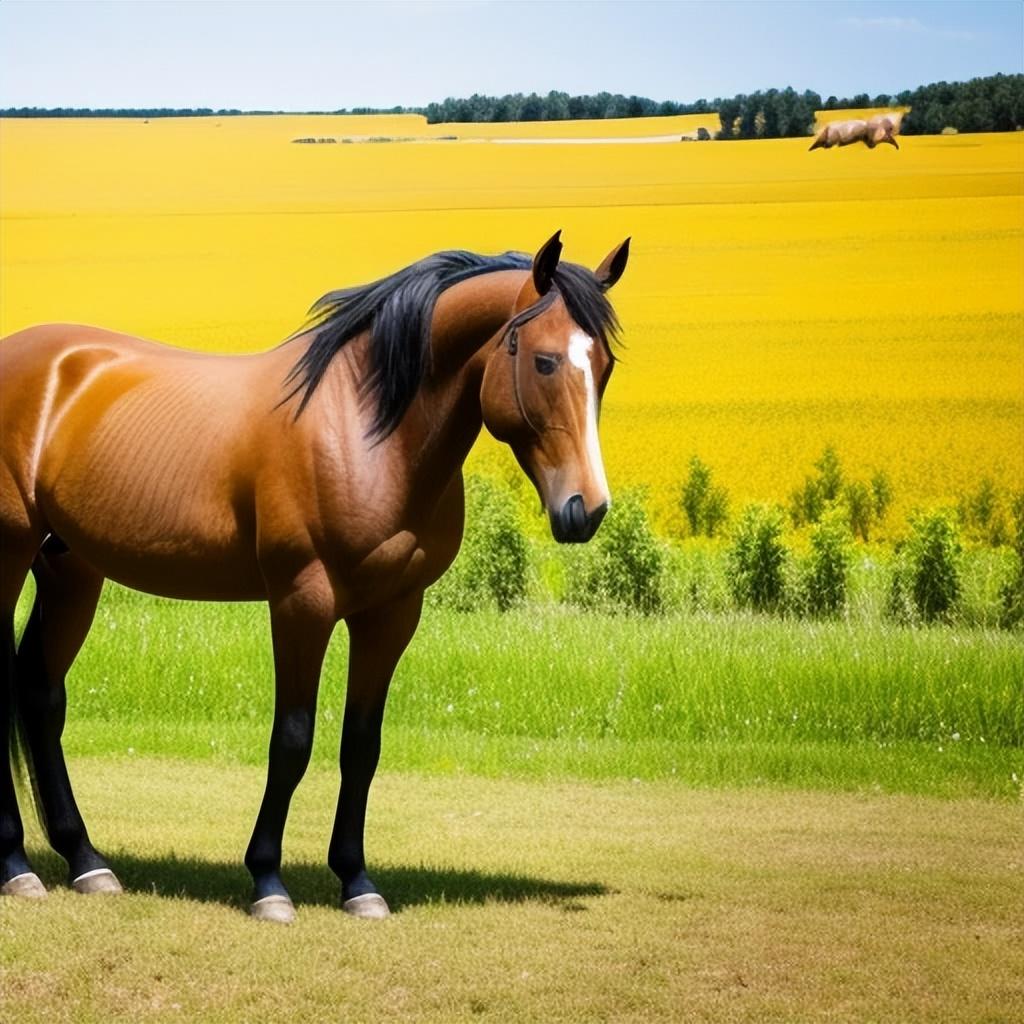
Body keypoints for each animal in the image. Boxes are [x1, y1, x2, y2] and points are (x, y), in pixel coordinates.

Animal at [0, 230, 626, 921]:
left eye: (604, 367)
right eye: (544, 361)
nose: (586, 509)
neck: (364, 430)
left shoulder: (393, 611)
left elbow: (362, 745)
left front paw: (357, 881)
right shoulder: (302, 601)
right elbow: (292, 740)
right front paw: (268, 882)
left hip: (70, 570)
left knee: (39, 693)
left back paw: (86, 862)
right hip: (8, 554)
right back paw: (16, 868)